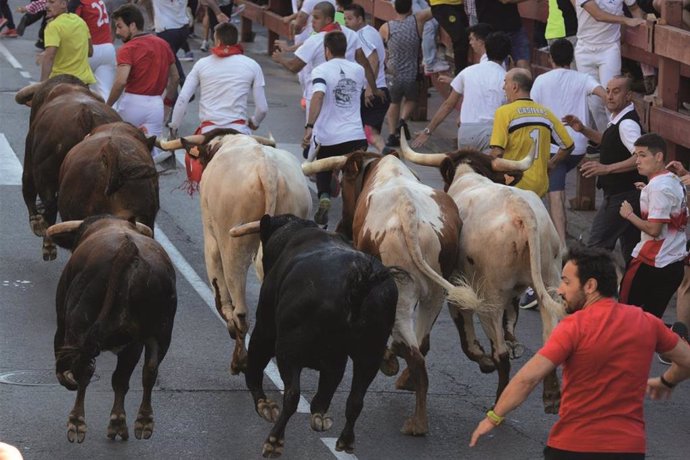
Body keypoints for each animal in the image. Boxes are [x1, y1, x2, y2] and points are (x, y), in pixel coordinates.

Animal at [15, 75, 119, 258]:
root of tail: (86, 115)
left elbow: (29, 189)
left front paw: (37, 224)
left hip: (43, 170)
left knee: (48, 202)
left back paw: (47, 239)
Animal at [45, 217, 175, 444]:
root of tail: (129, 249)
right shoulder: (133, 345)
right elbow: (121, 380)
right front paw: (118, 423)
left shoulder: (63, 324)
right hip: (160, 332)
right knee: (148, 371)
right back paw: (141, 422)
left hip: (78, 325)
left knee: (84, 370)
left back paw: (76, 423)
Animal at [246, 215, 398, 456]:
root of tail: (359, 285)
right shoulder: (337, 360)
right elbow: (328, 388)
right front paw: (320, 415)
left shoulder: (265, 325)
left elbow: (256, 364)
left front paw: (264, 405)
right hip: (370, 356)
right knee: (356, 400)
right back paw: (344, 439)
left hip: (287, 349)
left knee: (292, 395)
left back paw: (274, 440)